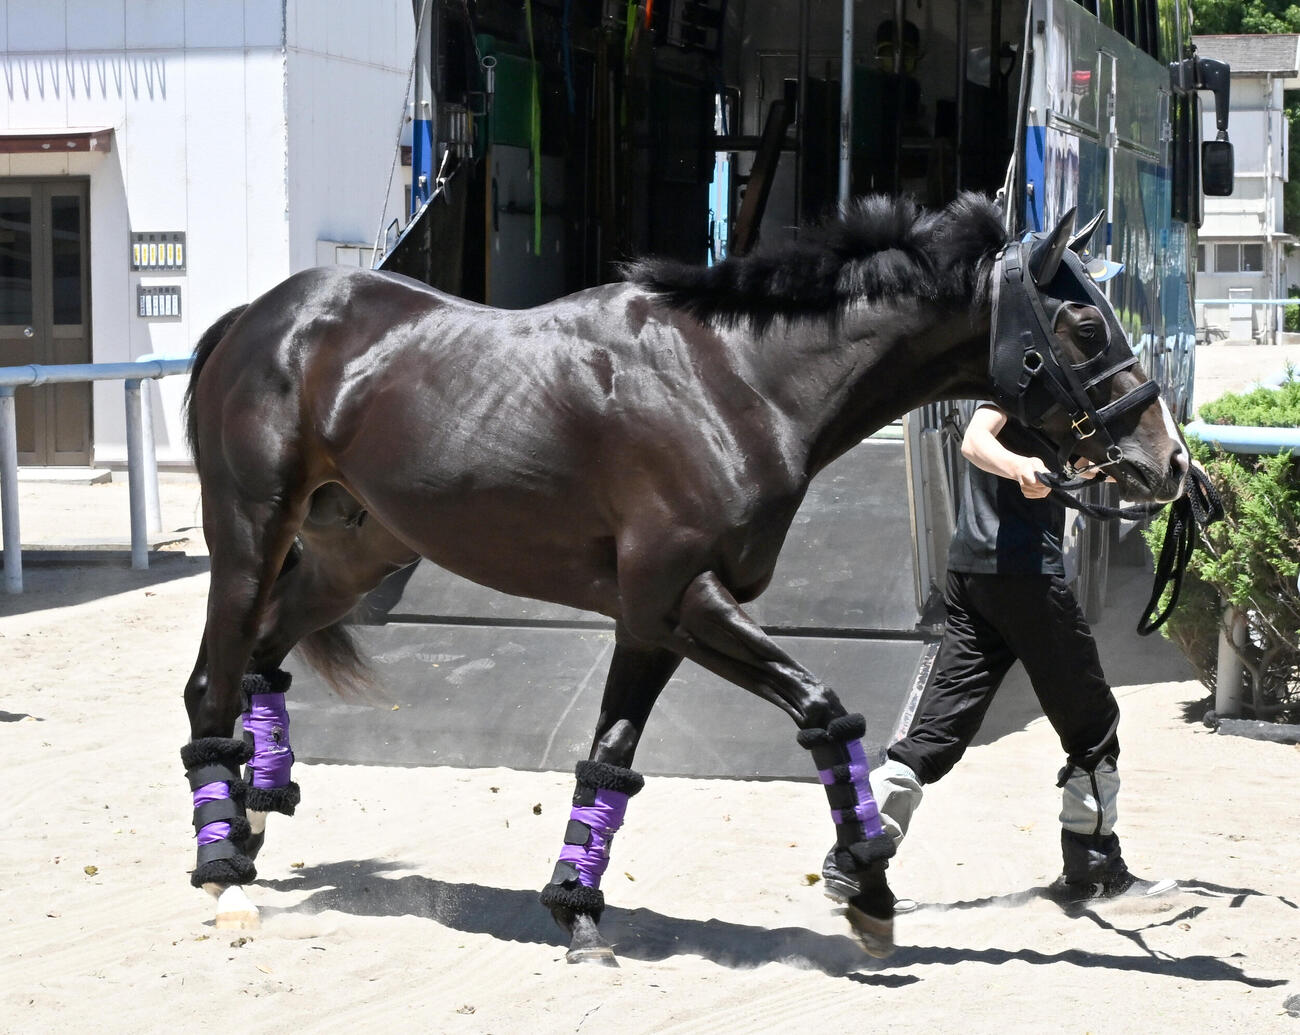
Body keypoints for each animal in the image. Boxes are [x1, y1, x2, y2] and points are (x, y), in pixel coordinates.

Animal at [179, 193, 1189, 965]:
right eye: (1086, 324)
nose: (1169, 461)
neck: (736, 380)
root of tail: (262, 316)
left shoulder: (650, 619)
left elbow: (611, 760)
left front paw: (577, 907)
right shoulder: (680, 598)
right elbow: (824, 709)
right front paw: (868, 885)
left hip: (357, 552)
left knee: (261, 658)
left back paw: (255, 815)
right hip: (251, 536)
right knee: (208, 689)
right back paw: (224, 872)